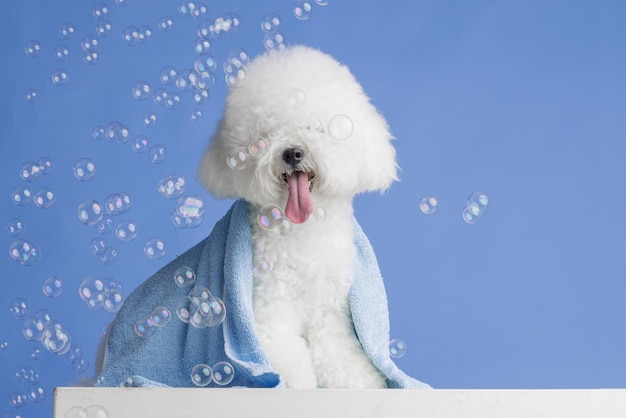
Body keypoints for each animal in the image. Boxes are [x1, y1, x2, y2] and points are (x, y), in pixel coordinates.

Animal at [197, 45, 398, 388]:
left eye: (315, 127)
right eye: (265, 134)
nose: (292, 152)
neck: (304, 234)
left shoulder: (330, 317)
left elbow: (342, 356)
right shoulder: (268, 317)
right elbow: (289, 366)